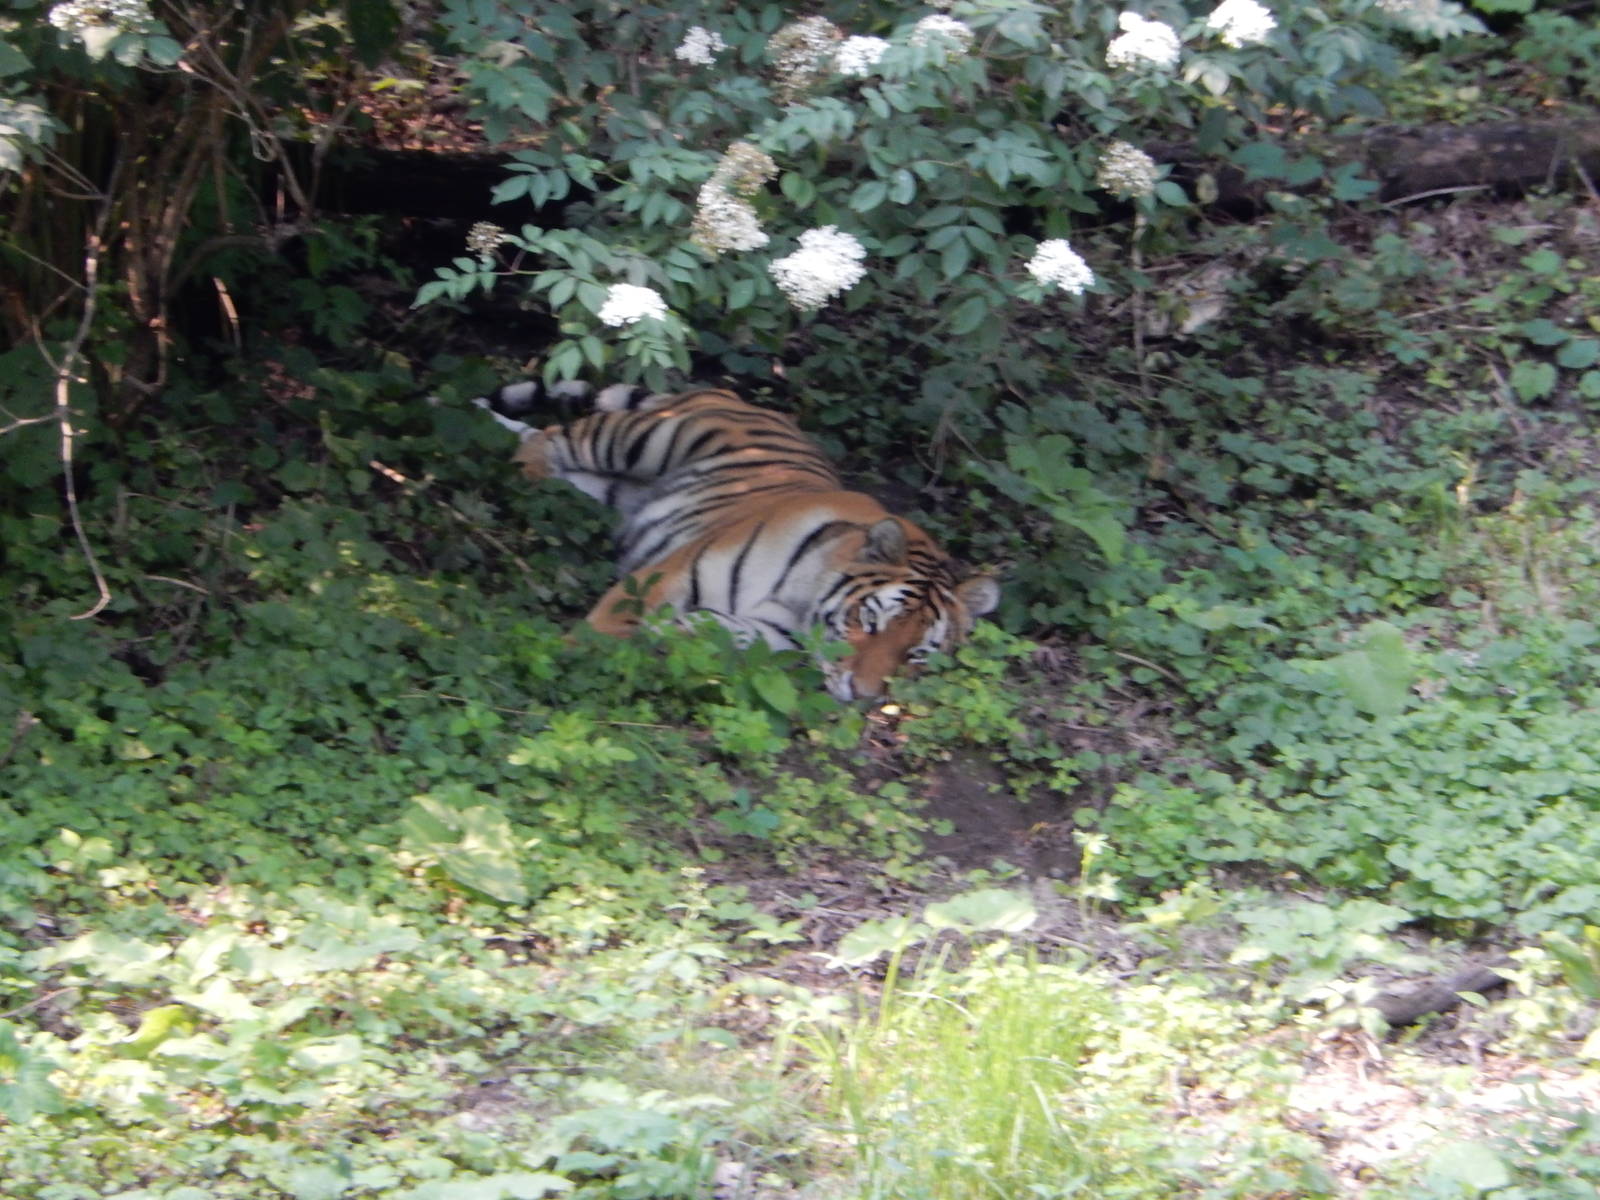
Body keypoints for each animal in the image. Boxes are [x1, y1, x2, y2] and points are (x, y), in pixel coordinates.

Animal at [471, 379, 999, 701]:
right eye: (870, 622)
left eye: (917, 654)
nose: (864, 696)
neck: (800, 600)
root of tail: (737, 396)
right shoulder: (664, 576)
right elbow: (601, 629)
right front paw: (563, 655)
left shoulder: (762, 634)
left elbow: (703, 633)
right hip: (643, 438)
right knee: (552, 437)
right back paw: (514, 466)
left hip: (603, 490)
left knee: (536, 440)